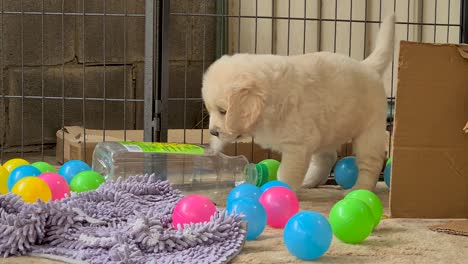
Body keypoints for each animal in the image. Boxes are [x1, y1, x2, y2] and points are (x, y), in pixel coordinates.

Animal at [201, 14, 394, 191]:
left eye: (223, 111)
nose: (213, 132)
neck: (271, 99)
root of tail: (368, 66)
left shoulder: (297, 146)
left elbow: (286, 173)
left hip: (369, 131)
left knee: (370, 163)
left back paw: (360, 189)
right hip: (327, 129)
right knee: (327, 157)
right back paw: (310, 180)